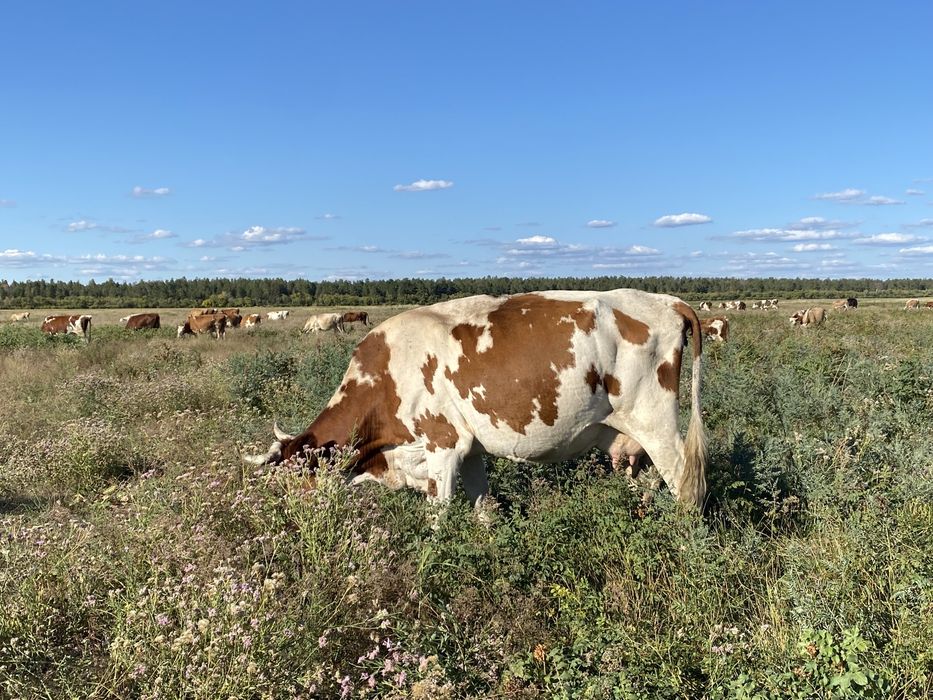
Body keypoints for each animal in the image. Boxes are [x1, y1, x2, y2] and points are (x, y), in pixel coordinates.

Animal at [245, 289, 708, 510]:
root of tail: (667, 301)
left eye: (300, 477)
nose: (294, 523)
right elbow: (484, 510)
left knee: (687, 488)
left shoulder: (444, 446)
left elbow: (438, 519)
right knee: (649, 485)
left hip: (657, 426)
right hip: (634, 442)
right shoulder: (469, 451)